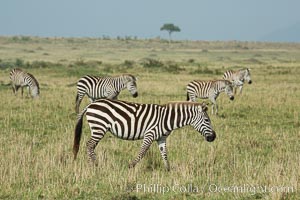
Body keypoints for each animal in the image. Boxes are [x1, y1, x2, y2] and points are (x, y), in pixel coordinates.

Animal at [74, 98, 217, 170]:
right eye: (207, 120)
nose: (213, 137)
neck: (167, 119)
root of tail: (91, 104)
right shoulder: (150, 134)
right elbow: (142, 152)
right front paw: (130, 166)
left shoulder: (161, 138)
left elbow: (164, 154)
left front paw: (168, 170)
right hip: (99, 127)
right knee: (89, 144)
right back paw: (95, 165)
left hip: (97, 128)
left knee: (90, 145)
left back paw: (92, 164)